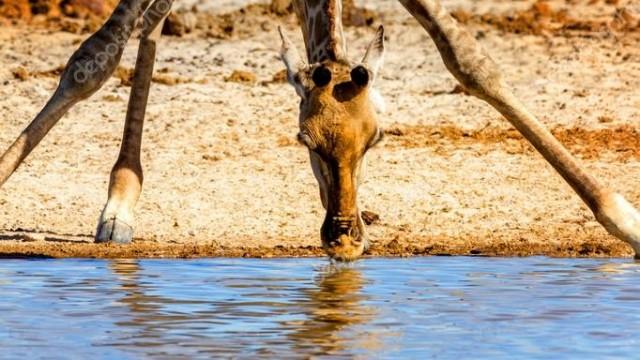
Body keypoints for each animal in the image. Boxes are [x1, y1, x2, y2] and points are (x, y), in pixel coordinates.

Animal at [0, 0, 636, 260]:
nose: (345, 238)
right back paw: (119, 201)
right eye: (303, 141)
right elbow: (93, 56)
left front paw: (623, 219)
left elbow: (468, 58)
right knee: (142, 23)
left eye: (378, 138)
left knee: (156, 17)